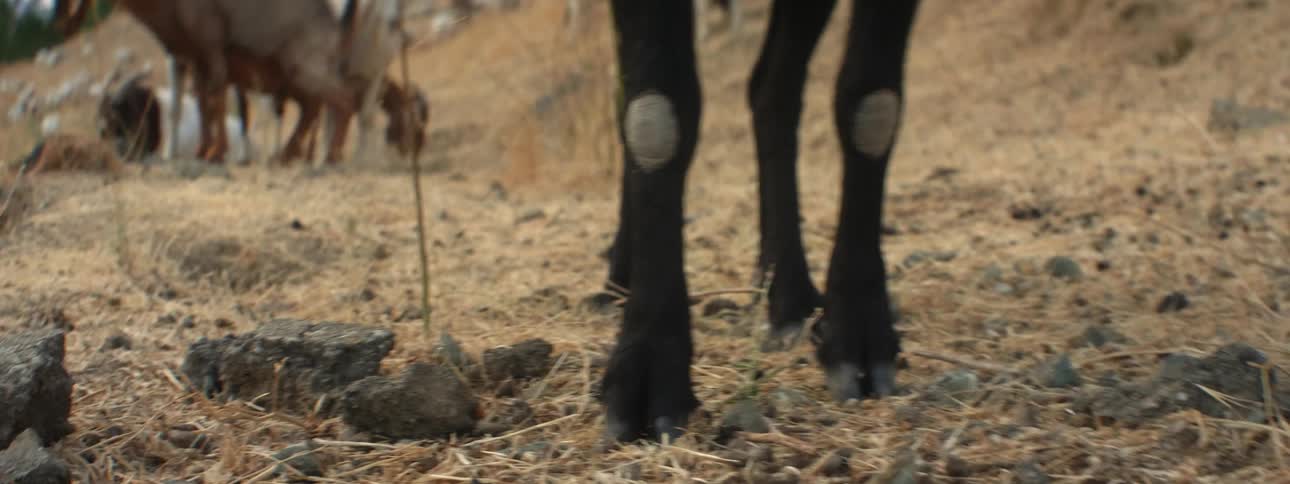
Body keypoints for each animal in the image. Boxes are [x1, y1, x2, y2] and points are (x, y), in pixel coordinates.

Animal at [597, 0, 919, 442]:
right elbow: (655, 121)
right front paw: (647, 370)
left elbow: (872, 110)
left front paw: (858, 335)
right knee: (627, 99)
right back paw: (618, 278)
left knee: (772, 91)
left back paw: (788, 298)